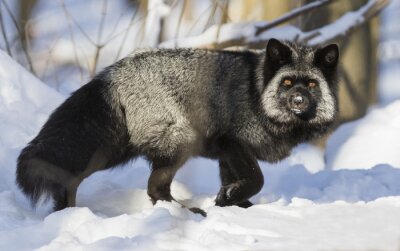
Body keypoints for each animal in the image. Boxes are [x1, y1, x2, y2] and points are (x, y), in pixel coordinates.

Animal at [17, 39, 340, 214]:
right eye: (287, 82)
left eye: (311, 85)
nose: (298, 100)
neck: (257, 94)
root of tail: (114, 72)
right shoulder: (232, 141)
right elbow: (256, 179)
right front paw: (229, 201)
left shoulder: (226, 153)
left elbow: (234, 182)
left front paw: (234, 205)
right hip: (179, 141)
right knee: (154, 188)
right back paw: (186, 212)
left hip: (115, 148)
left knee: (74, 177)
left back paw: (65, 212)